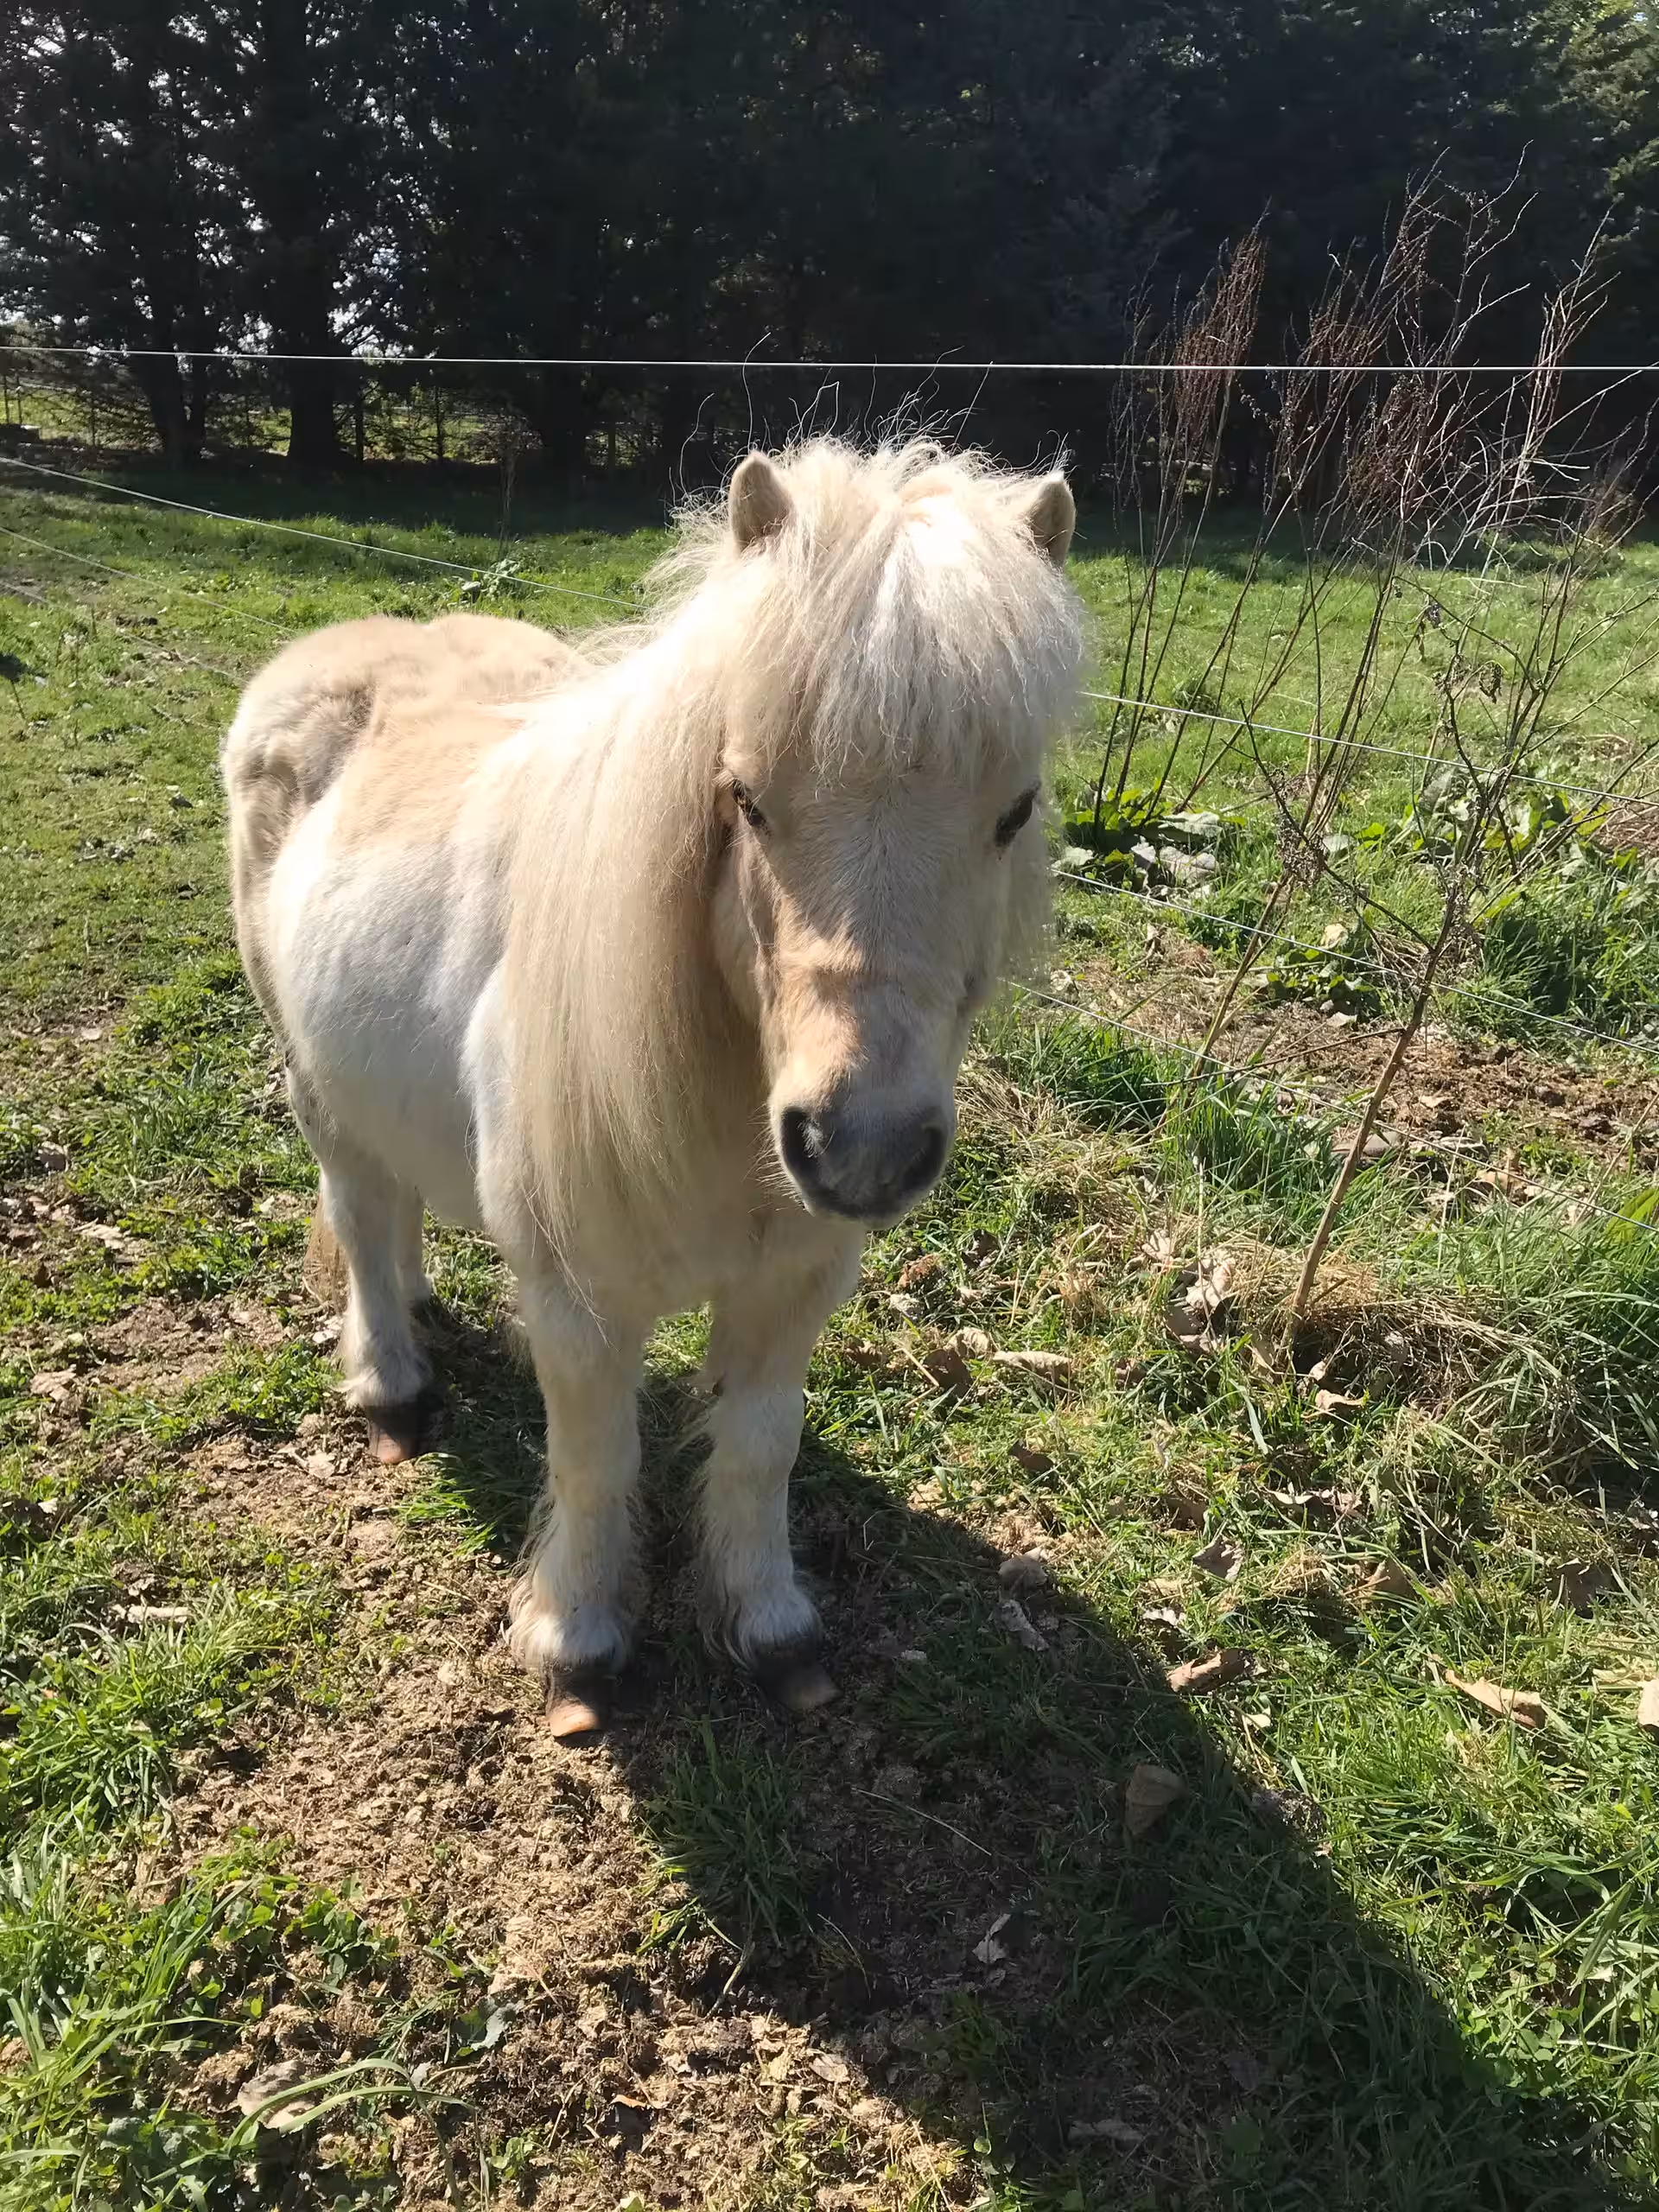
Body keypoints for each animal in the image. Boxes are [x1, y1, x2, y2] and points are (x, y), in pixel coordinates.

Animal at [221, 438, 1082, 1735]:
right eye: (748, 797)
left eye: (1013, 811)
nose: (863, 1146)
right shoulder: (581, 1306)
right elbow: (598, 1460)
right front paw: (576, 1636)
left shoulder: (797, 1282)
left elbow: (761, 1449)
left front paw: (771, 1624)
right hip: (307, 1070)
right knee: (359, 1208)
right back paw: (392, 1379)